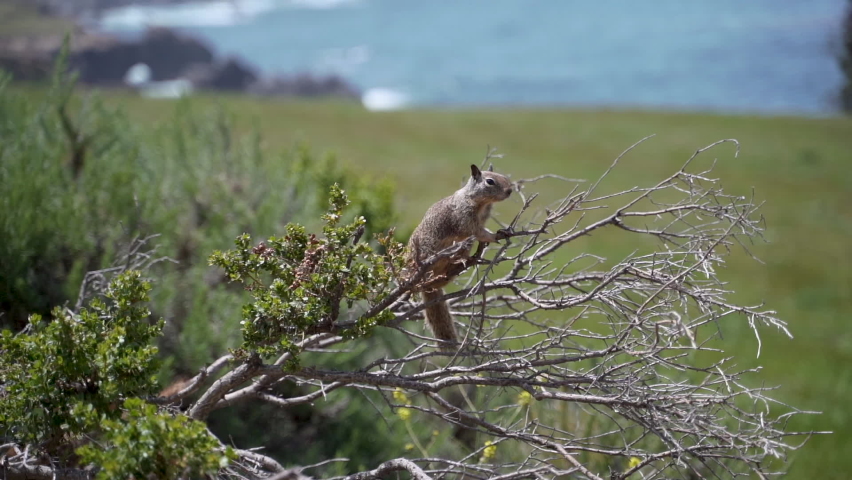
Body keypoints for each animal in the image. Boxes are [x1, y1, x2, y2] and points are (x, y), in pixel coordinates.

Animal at [405, 164, 513, 349]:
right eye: (490, 181)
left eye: (503, 176)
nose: (510, 190)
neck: (480, 203)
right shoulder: (465, 219)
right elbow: (478, 232)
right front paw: (494, 236)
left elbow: (480, 233)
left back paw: (461, 263)